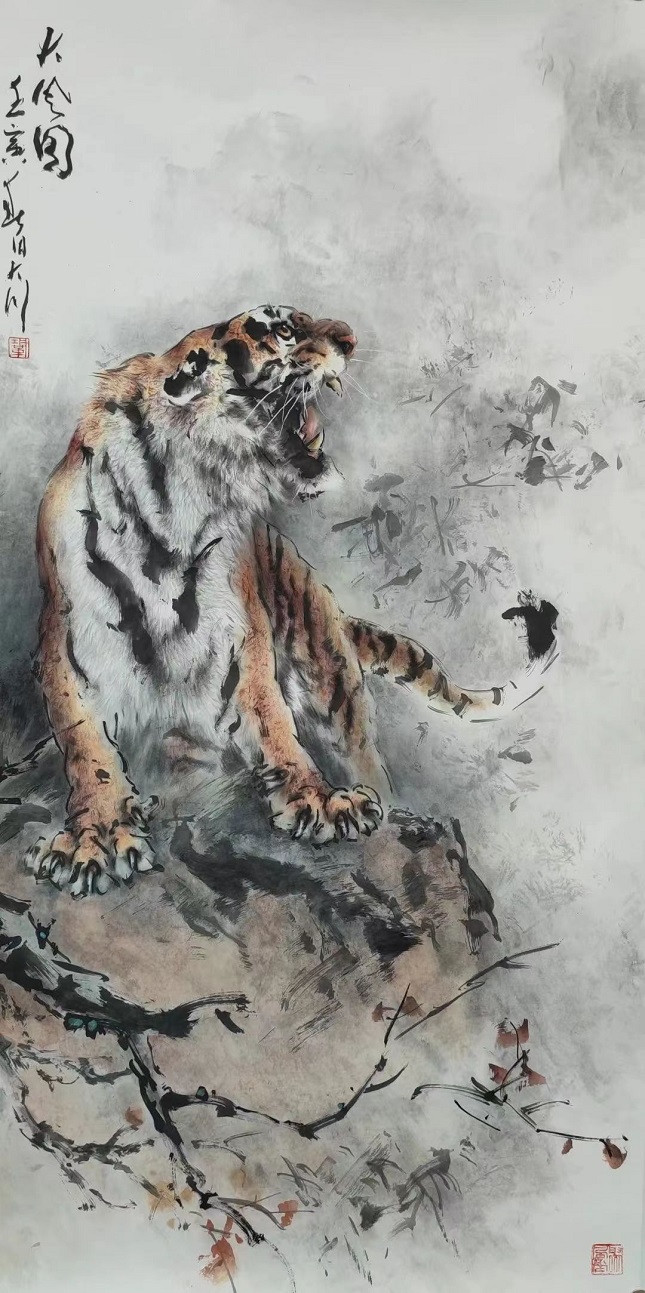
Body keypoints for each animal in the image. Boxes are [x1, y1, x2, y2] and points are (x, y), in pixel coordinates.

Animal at [27, 304, 558, 898]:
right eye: (283, 329)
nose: (351, 339)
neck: (180, 499)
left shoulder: (238, 635)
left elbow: (270, 716)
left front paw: (320, 801)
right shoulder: (70, 642)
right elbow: (86, 747)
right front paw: (94, 838)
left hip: (337, 702)